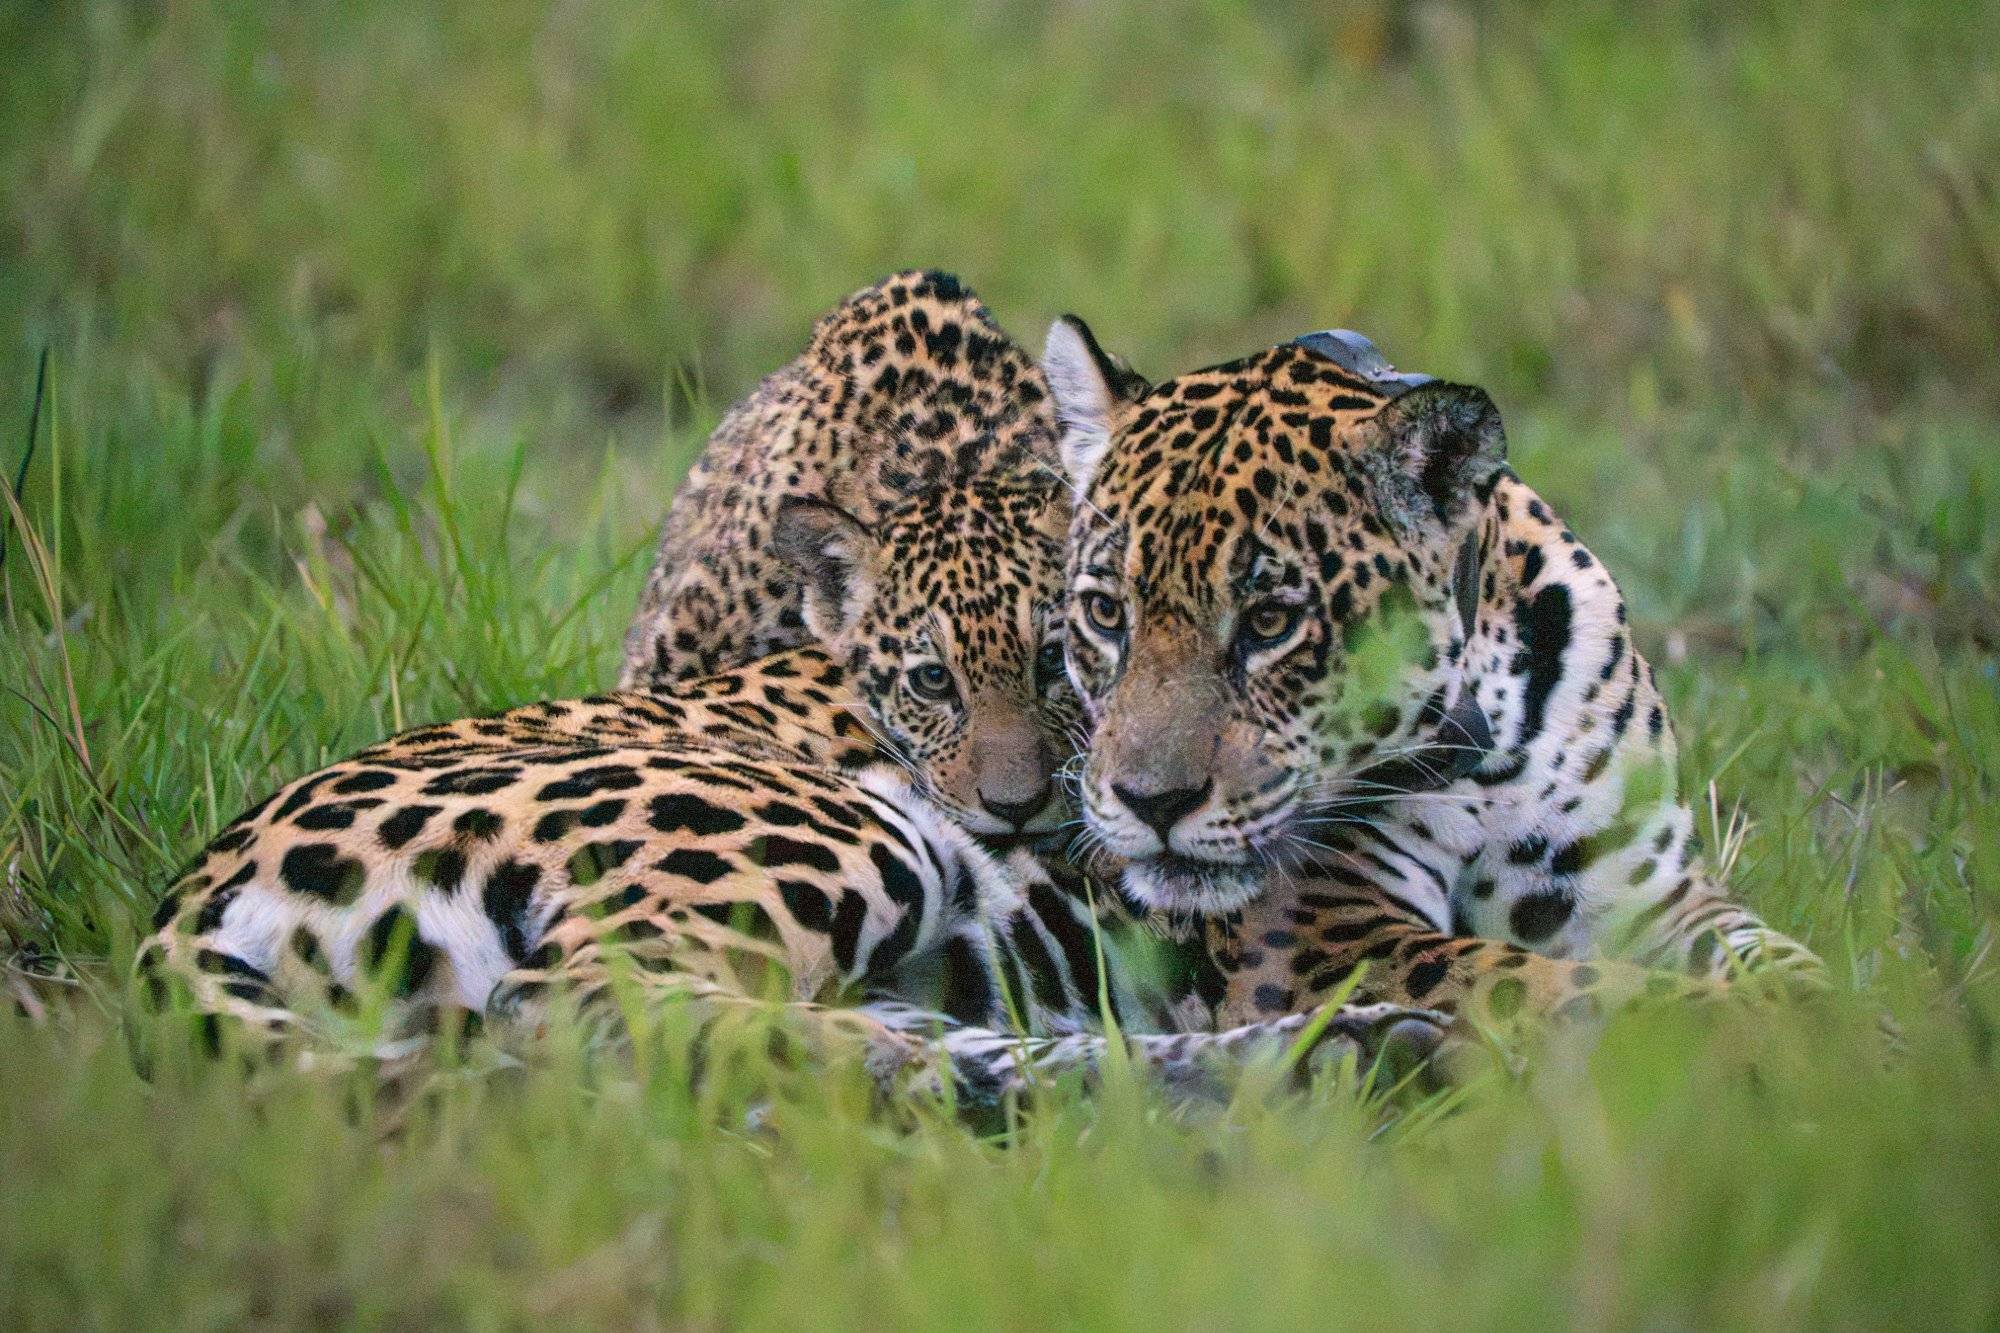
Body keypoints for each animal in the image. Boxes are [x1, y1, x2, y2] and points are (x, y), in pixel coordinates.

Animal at [1038, 317, 1826, 1032]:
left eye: (1270, 621)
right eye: (1106, 613)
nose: (1153, 805)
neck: (1488, 747)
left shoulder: (1654, 891)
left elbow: (1778, 956)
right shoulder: (1319, 936)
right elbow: (1568, 985)